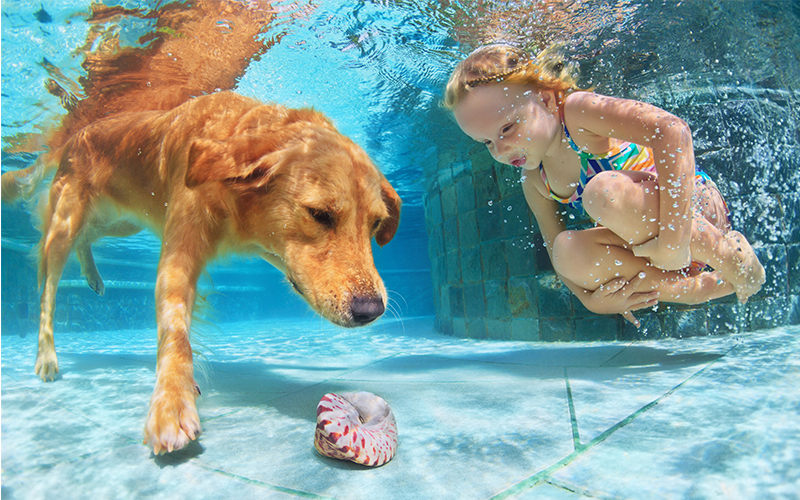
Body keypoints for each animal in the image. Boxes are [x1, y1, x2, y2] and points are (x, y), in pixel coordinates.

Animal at [0, 90, 400, 454]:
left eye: (375, 224)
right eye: (319, 215)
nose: (372, 311)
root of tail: (71, 137)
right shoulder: (179, 256)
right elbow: (175, 332)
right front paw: (171, 402)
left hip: (123, 220)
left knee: (88, 237)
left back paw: (92, 275)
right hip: (66, 222)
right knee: (48, 286)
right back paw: (46, 357)